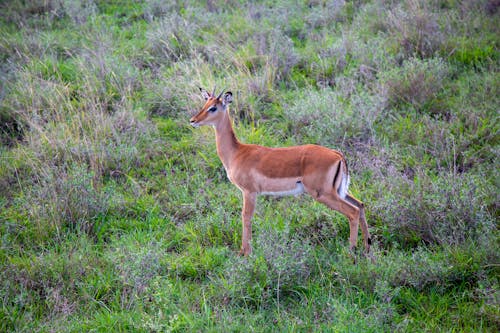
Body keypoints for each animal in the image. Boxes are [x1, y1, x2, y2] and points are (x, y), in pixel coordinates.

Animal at [190, 87, 372, 255]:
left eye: (213, 107)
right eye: (204, 104)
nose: (193, 120)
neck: (237, 152)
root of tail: (337, 154)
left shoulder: (249, 192)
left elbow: (246, 217)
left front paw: (245, 253)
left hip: (323, 194)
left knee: (353, 212)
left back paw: (351, 251)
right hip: (339, 191)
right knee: (361, 205)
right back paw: (367, 247)